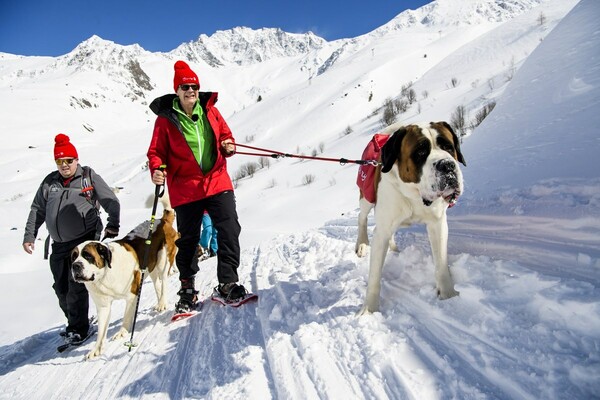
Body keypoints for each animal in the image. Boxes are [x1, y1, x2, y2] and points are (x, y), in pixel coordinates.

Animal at [71, 200, 176, 360]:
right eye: (73, 256)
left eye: (87, 256)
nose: (75, 266)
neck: (105, 274)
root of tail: (161, 220)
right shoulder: (103, 305)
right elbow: (101, 329)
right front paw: (96, 349)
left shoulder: (132, 295)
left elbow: (127, 316)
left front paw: (122, 333)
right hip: (150, 266)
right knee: (157, 283)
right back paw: (159, 303)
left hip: (163, 259)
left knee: (163, 281)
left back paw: (163, 303)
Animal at [354, 120, 466, 314]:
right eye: (420, 152)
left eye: (448, 147)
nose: (447, 165)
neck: (415, 196)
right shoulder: (381, 232)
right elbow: (374, 276)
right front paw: (369, 310)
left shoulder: (437, 224)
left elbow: (441, 262)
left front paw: (448, 295)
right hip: (366, 195)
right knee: (362, 216)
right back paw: (361, 244)